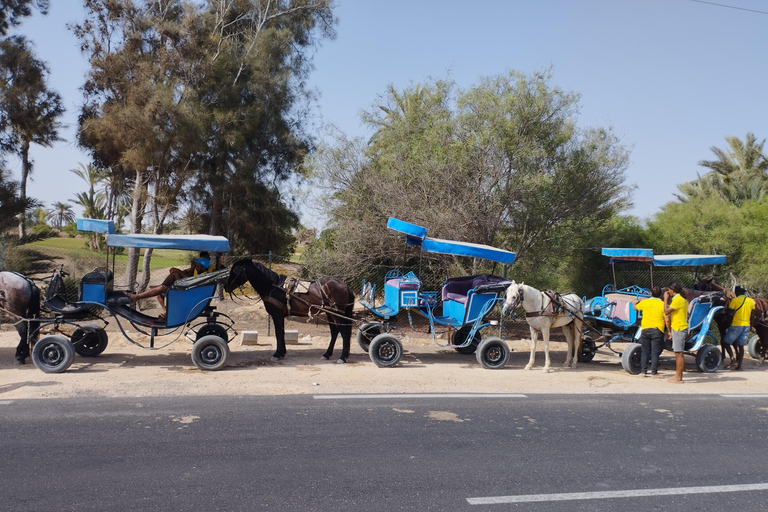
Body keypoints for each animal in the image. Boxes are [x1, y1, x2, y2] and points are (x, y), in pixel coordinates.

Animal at [222, 260, 354, 364]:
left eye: (235, 271)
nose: (225, 286)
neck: (273, 286)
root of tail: (345, 287)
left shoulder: (277, 315)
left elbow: (278, 334)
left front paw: (277, 354)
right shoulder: (280, 316)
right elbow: (281, 333)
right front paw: (282, 353)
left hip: (337, 314)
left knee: (344, 333)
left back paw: (342, 358)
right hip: (330, 314)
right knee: (335, 332)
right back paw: (327, 354)